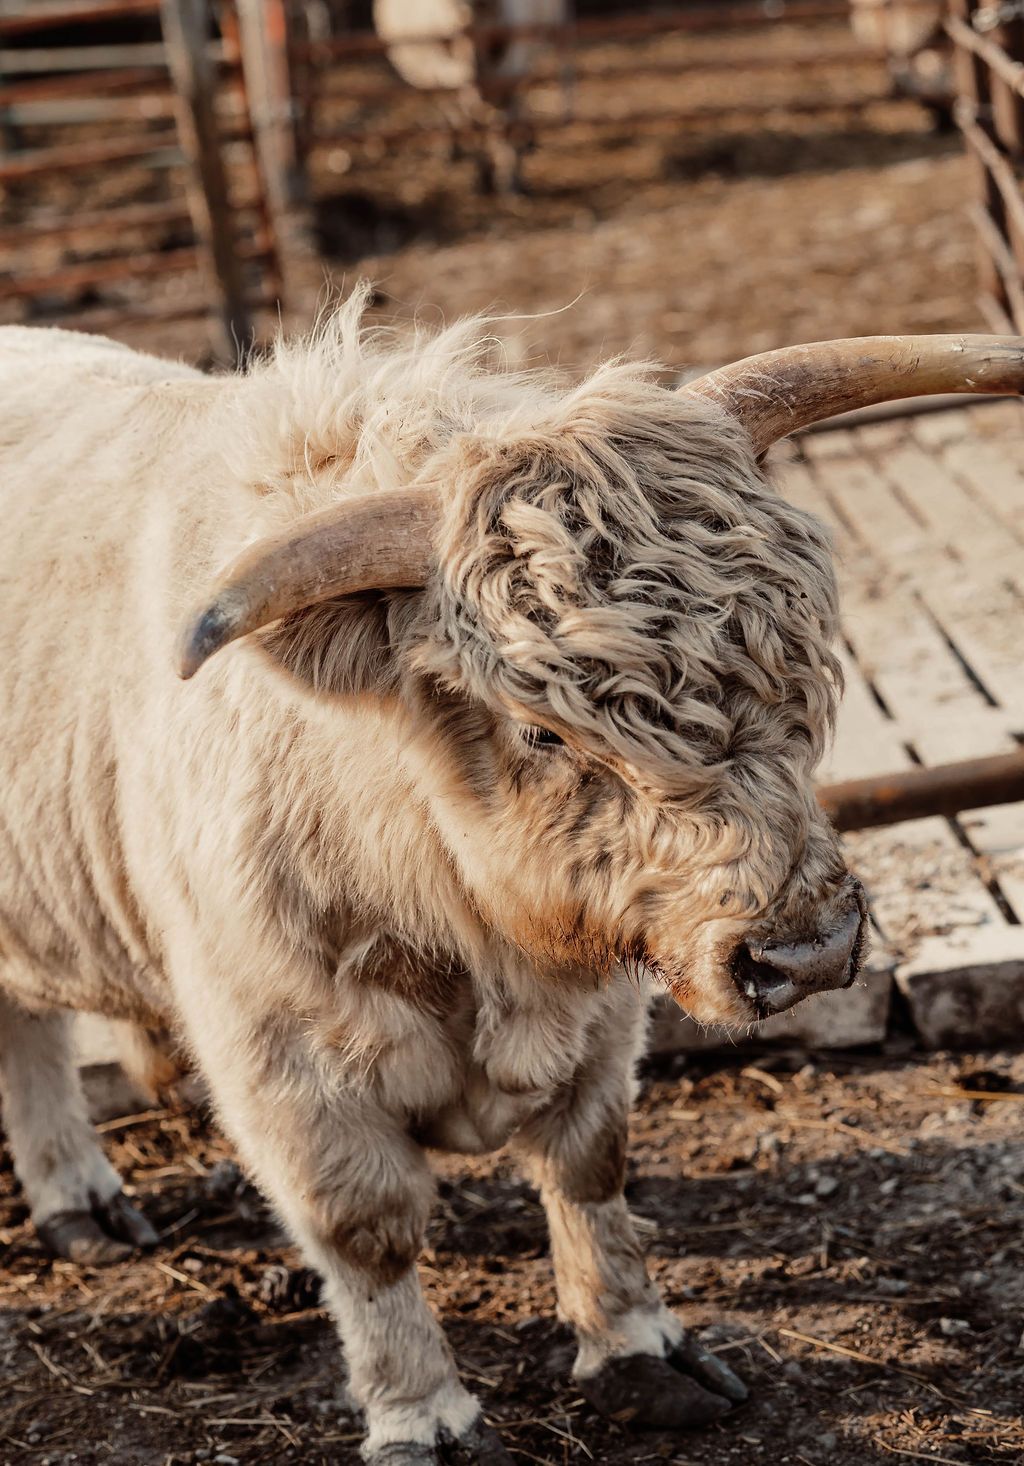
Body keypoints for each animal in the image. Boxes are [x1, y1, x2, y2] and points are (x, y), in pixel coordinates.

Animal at [0, 305, 1020, 1462]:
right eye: (541, 730)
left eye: (798, 661)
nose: (804, 951)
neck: (477, 937)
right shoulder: (280, 1054)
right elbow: (366, 1228)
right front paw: (423, 1414)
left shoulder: (606, 1011)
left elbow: (589, 1163)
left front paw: (639, 1353)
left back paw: (79, 1202)